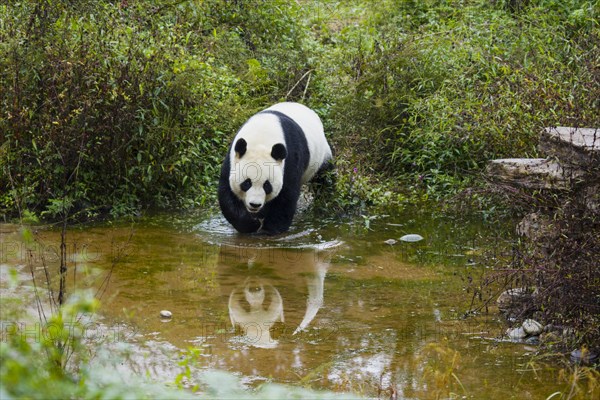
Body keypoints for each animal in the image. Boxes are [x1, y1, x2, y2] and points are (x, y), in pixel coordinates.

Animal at [218, 102, 332, 234]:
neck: (262, 136)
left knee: (325, 177)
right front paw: (251, 224)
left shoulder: (290, 160)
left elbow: (286, 196)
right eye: (246, 183)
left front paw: (269, 230)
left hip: (321, 155)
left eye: (267, 185)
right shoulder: (232, 159)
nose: (255, 204)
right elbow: (227, 194)